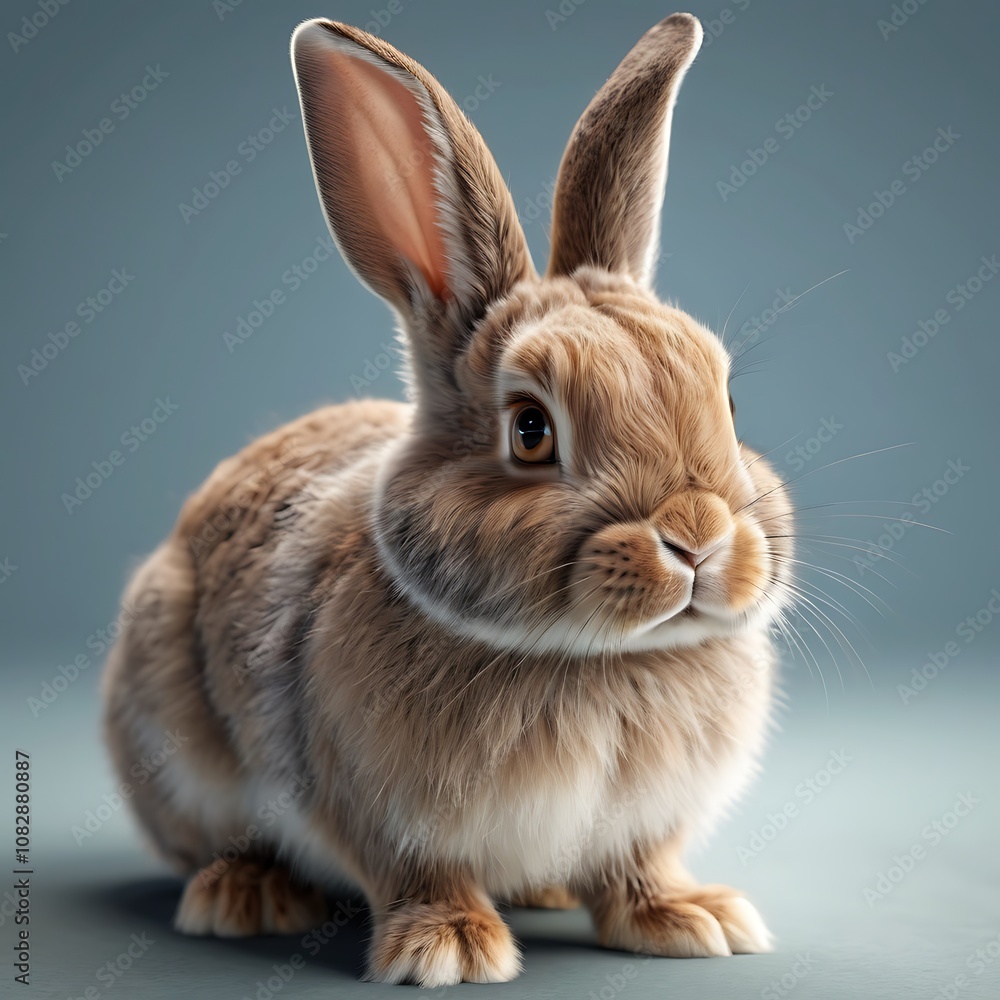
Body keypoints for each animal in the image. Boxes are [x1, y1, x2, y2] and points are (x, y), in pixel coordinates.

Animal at [102, 12, 794, 986]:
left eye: (727, 402)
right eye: (531, 430)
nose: (697, 537)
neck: (593, 659)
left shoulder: (644, 822)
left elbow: (639, 866)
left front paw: (694, 920)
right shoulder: (373, 802)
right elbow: (417, 869)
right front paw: (450, 949)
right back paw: (246, 897)